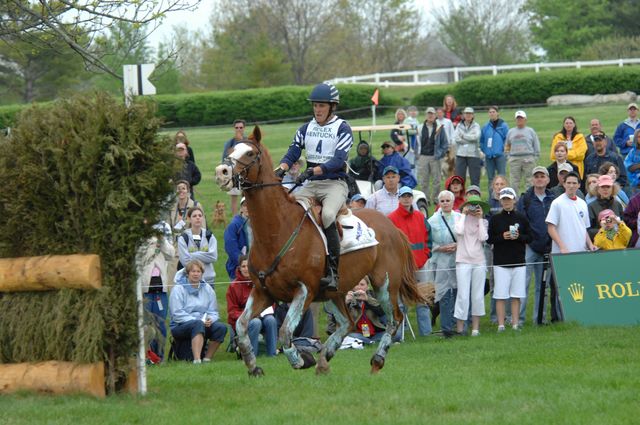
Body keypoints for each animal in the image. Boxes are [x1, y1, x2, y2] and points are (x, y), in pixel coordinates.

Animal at [216, 126, 424, 374]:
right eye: (230, 150)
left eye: (249, 153)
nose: (222, 172)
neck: (277, 230)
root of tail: (392, 226)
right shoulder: (262, 292)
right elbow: (241, 325)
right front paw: (253, 366)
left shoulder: (304, 291)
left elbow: (285, 331)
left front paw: (301, 359)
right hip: (336, 292)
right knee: (347, 323)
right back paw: (325, 357)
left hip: (384, 283)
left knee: (394, 319)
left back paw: (376, 359)